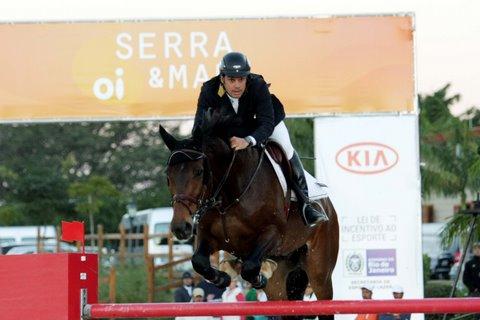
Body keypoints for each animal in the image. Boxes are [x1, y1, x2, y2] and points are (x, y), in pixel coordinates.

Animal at [159, 114, 340, 318]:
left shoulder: (273, 234)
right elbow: (199, 261)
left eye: (199, 172)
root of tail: (328, 205)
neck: (229, 193)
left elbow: (250, 266)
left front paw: (257, 277)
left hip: (319, 270)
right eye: (168, 175)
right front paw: (223, 278)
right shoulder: (209, 236)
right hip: (281, 279)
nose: (181, 228)